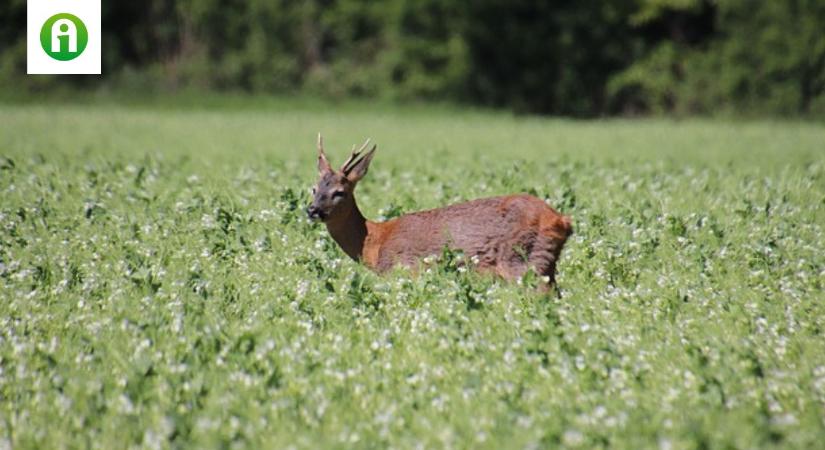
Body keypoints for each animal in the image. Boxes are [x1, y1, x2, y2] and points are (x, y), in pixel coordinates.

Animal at [304, 134, 572, 288]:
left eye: (340, 192)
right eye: (314, 188)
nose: (312, 210)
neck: (375, 241)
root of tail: (561, 220)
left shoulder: (405, 269)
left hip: (525, 262)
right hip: (545, 265)